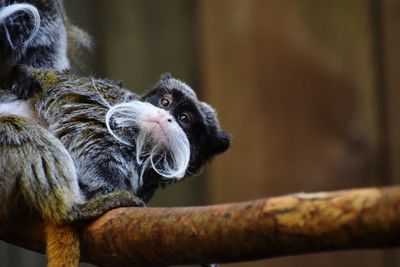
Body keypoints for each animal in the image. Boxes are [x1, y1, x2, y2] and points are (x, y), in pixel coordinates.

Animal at [0, 68, 230, 266]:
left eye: (184, 118)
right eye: (165, 102)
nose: (164, 115)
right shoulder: (108, 104)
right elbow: (82, 130)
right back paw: (73, 211)